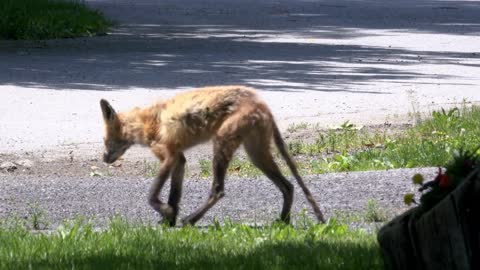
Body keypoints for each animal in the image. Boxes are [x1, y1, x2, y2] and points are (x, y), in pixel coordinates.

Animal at [101, 84, 326, 226]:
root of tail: (262, 104)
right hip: (256, 155)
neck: (146, 122)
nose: (104, 159)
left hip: (221, 145)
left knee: (218, 190)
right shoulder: (179, 159)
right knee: (288, 186)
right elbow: (175, 195)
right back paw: (283, 221)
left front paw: (168, 214)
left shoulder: (168, 155)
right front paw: (169, 220)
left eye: (105, 140)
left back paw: (191, 220)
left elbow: (151, 196)